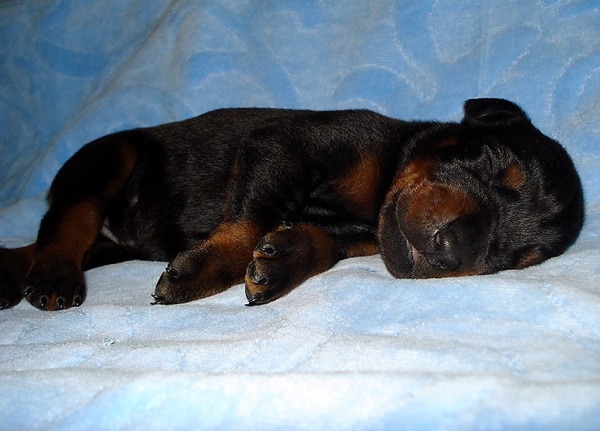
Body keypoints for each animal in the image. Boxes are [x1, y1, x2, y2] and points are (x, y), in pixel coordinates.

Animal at [0, 98, 584, 311]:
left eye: (514, 257)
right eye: (491, 161)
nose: (450, 250)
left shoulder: (358, 234)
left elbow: (319, 243)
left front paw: (279, 265)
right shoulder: (287, 144)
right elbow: (253, 215)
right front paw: (204, 270)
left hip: (112, 245)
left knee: (47, 240)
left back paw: (10, 274)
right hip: (109, 158)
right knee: (68, 220)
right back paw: (54, 276)